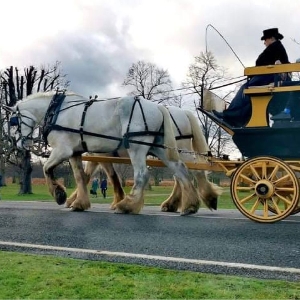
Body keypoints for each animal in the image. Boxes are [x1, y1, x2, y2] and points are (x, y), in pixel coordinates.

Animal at [6, 90, 202, 214]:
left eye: (13, 121)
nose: (20, 143)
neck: (57, 111)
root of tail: (159, 107)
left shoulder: (63, 150)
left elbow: (47, 168)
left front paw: (59, 195)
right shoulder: (76, 152)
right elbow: (80, 177)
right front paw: (79, 203)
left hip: (137, 147)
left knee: (143, 175)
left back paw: (127, 205)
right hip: (160, 148)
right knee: (181, 171)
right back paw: (189, 205)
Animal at [68, 106, 223, 212]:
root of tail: (183, 113)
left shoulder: (102, 155)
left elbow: (106, 175)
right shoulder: (98, 156)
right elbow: (87, 175)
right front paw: (75, 199)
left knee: (190, 171)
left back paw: (204, 198)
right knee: (181, 174)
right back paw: (174, 203)